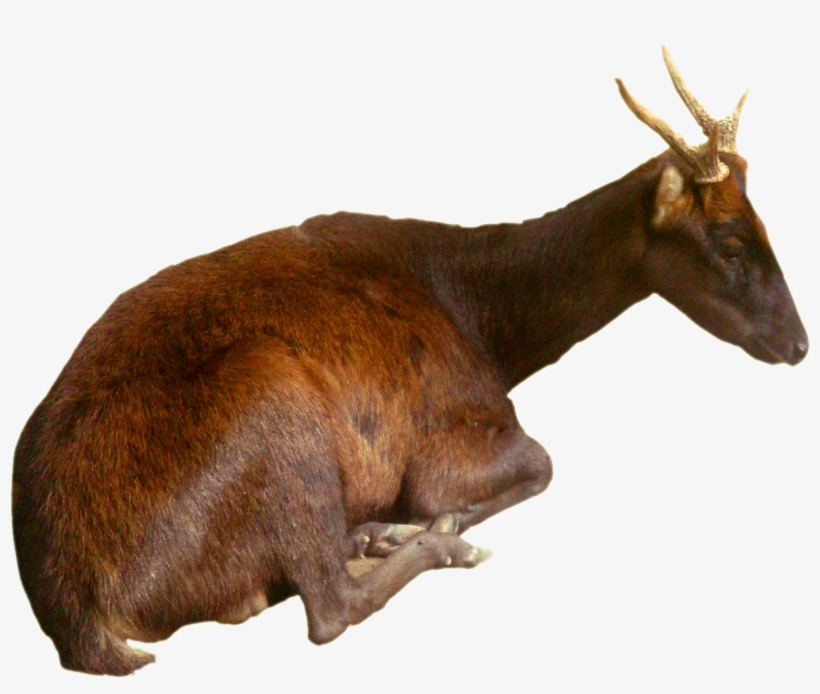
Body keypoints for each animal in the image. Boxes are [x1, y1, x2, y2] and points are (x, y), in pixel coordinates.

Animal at [12, 48, 808, 676]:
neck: (489, 324)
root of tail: (80, 612)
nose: (800, 344)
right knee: (328, 609)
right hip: (276, 396)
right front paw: (428, 525)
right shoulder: (446, 439)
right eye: (731, 242)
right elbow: (536, 466)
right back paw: (426, 545)